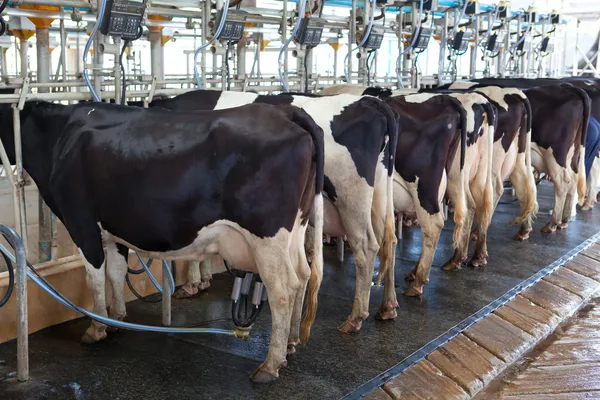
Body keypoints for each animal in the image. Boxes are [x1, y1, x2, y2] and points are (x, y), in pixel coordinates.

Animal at [0, 100, 324, 382]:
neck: (58, 136)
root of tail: (285, 112)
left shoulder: (81, 222)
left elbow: (95, 278)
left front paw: (97, 327)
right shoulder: (114, 229)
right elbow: (116, 272)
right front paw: (118, 318)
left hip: (267, 235)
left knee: (283, 289)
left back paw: (270, 364)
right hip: (296, 227)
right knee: (303, 275)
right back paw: (291, 343)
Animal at [134, 90, 400, 334]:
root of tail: (368, 101)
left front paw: (192, 283)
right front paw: (202, 280)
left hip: (350, 196)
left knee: (366, 247)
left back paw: (355, 317)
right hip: (378, 196)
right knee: (388, 241)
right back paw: (387, 306)